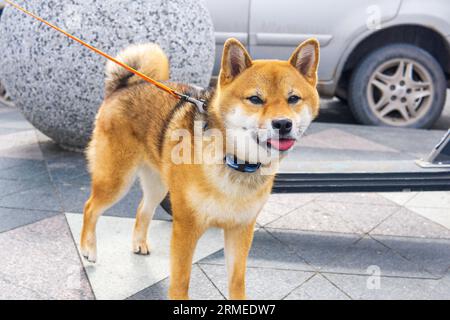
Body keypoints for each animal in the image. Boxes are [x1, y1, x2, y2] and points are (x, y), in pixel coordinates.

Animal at [81, 38, 320, 300]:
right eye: (255, 99)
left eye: (293, 98)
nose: (283, 124)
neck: (235, 162)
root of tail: (124, 86)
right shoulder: (186, 227)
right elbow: (180, 281)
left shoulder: (241, 229)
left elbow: (237, 281)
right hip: (116, 180)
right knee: (90, 207)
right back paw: (88, 249)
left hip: (158, 186)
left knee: (142, 209)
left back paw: (139, 244)